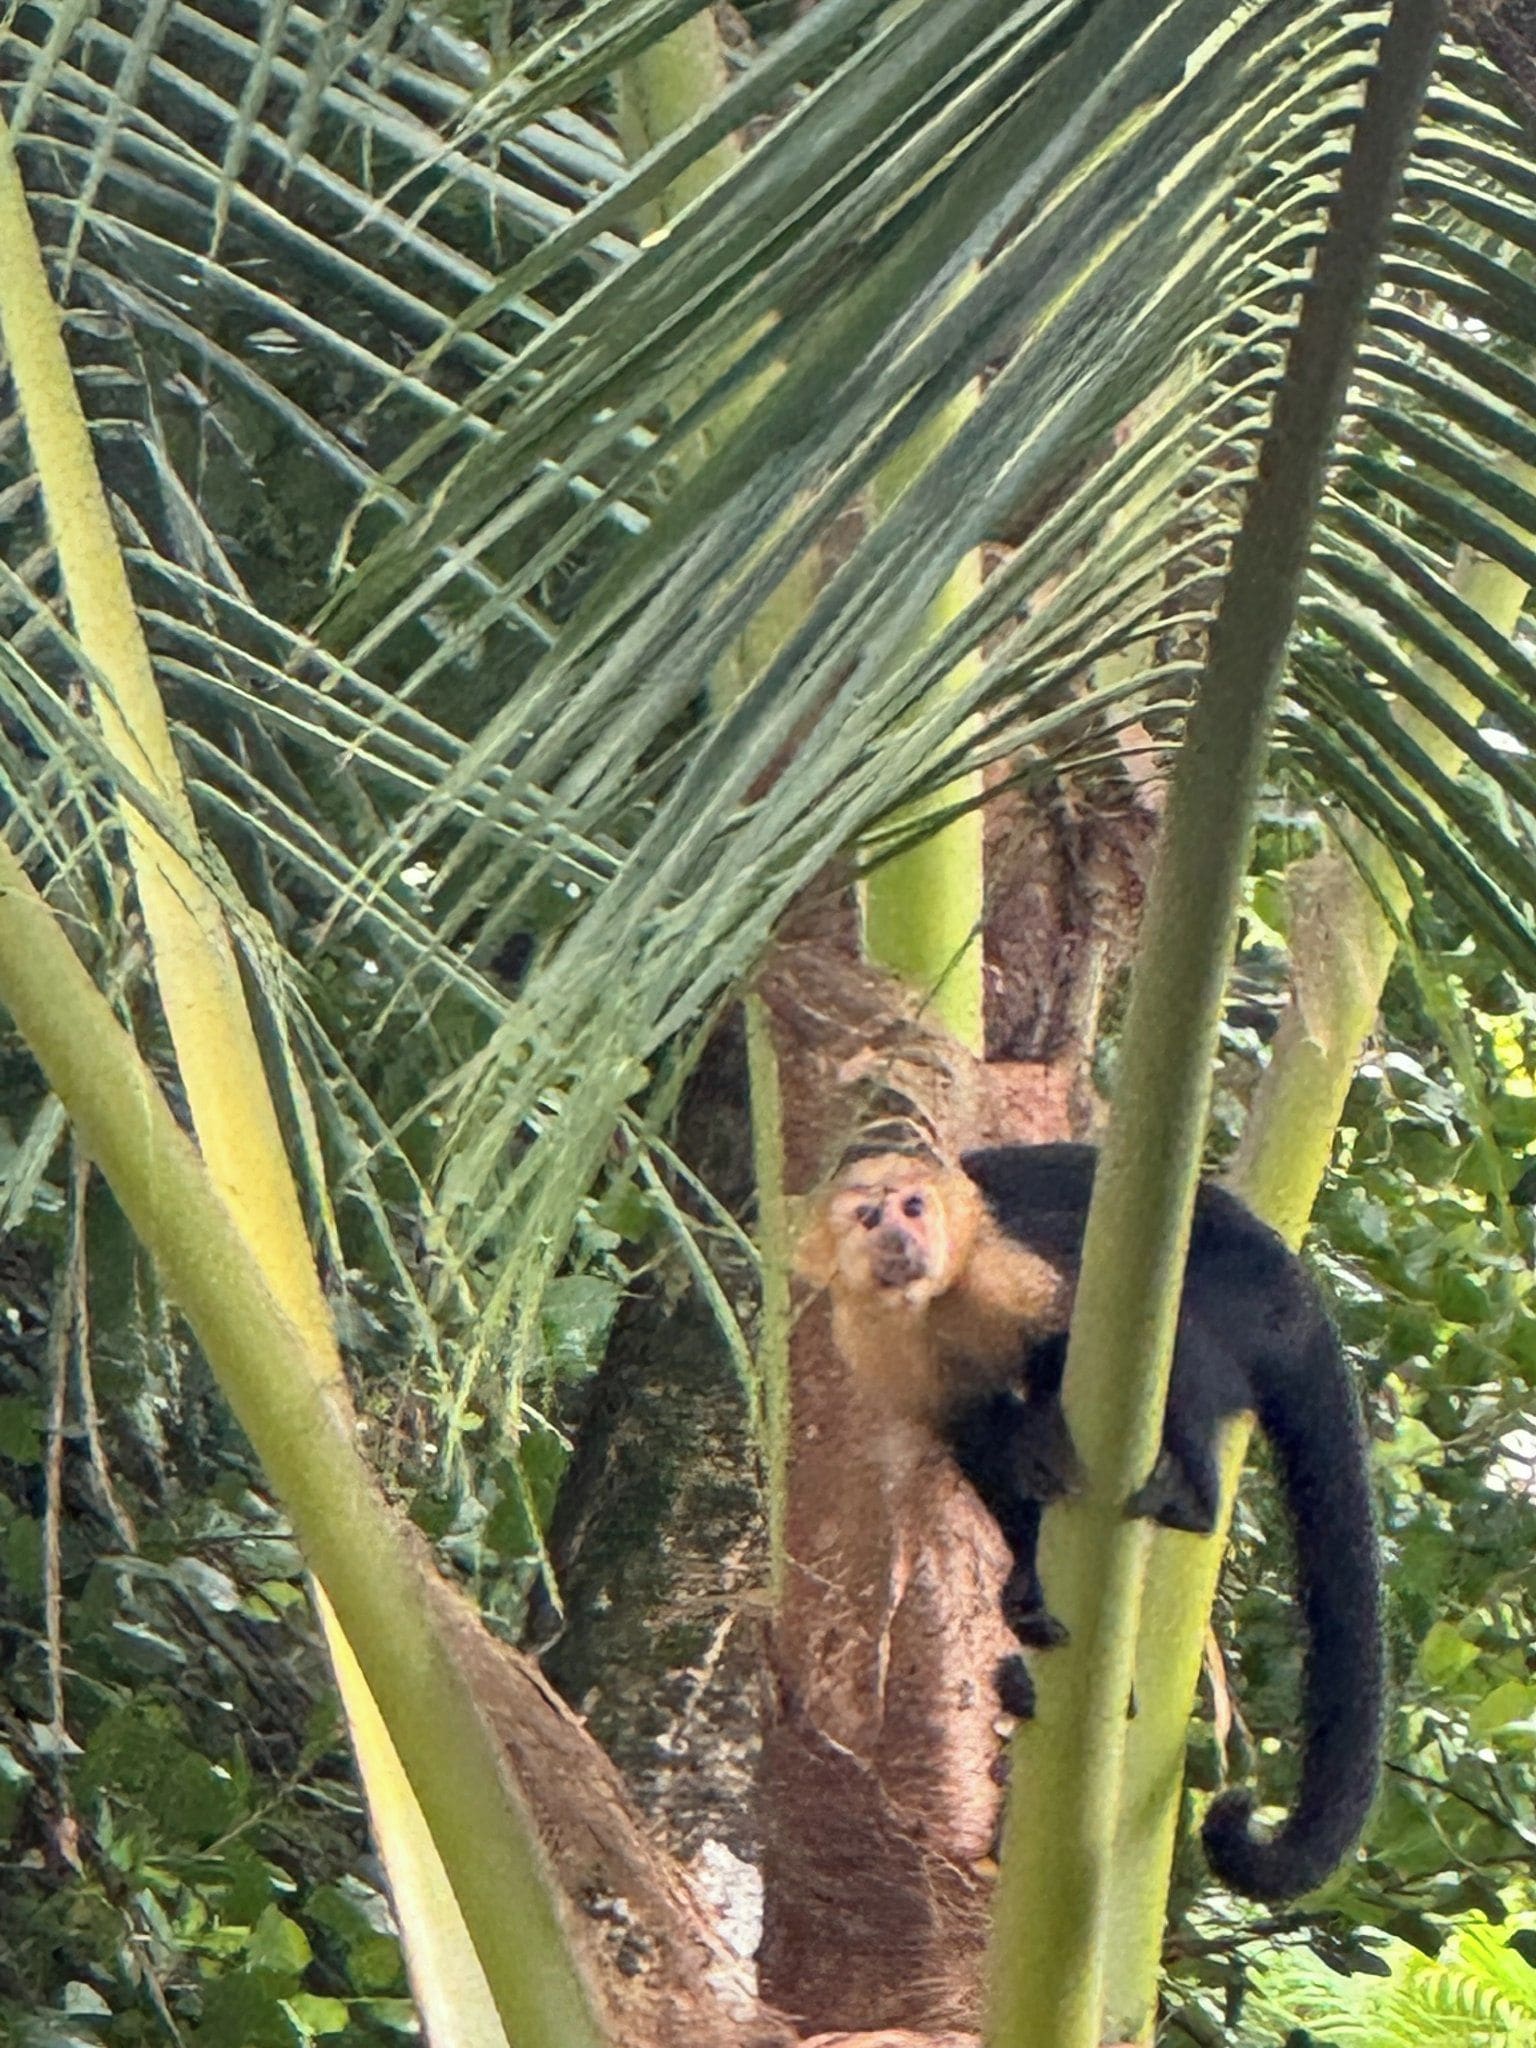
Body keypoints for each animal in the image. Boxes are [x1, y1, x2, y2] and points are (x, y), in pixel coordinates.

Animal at [795, 1140, 1384, 1907]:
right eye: (870, 1218)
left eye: (914, 1206)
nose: (901, 1236)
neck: (937, 1297)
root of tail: (1308, 1300)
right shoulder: (873, 1340)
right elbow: (978, 1438)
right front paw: (1028, 1579)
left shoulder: (1000, 1262)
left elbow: (1069, 1335)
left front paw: (1047, 1428)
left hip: (1259, 1305)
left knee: (1179, 1332)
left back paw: (1193, 1492)